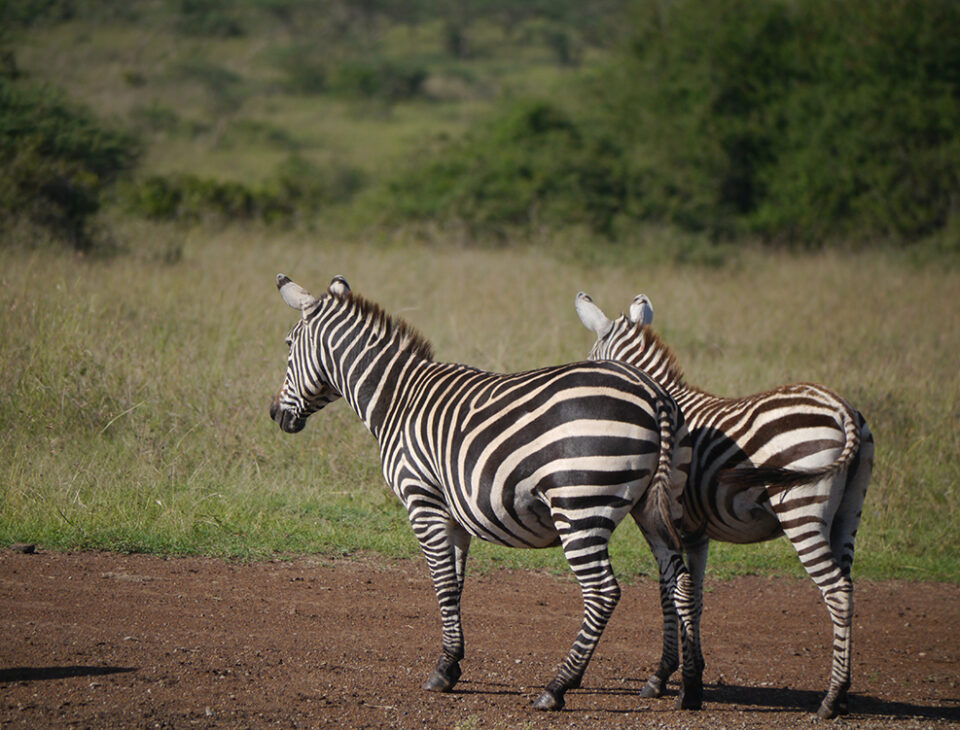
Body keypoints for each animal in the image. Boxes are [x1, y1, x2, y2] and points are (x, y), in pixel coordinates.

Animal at [270, 274, 704, 712]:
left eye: (288, 345)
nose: (275, 414)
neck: (398, 400)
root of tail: (652, 393)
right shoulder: (454, 513)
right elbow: (456, 583)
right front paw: (451, 662)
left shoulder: (422, 500)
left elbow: (442, 582)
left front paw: (442, 672)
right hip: (654, 506)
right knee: (679, 583)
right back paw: (685, 685)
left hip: (580, 505)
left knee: (603, 592)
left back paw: (557, 687)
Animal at [572, 290, 872, 716]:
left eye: (591, 361)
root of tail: (841, 408)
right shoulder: (696, 532)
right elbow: (693, 598)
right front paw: (690, 674)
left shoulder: (664, 521)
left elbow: (668, 594)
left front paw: (663, 677)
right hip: (849, 514)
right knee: (847, 584)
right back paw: (842, 696)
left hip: (802, 512)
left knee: (837, 591)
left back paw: (831, 698)